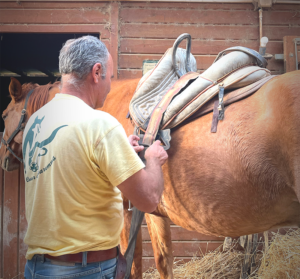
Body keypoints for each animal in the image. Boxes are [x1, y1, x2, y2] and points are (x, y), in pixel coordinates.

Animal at [1, 72, 300, 279]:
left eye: (3, 114)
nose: (3, 158)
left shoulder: (124, 212)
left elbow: (131, 264)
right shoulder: (154, 211)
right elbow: (162, 261)